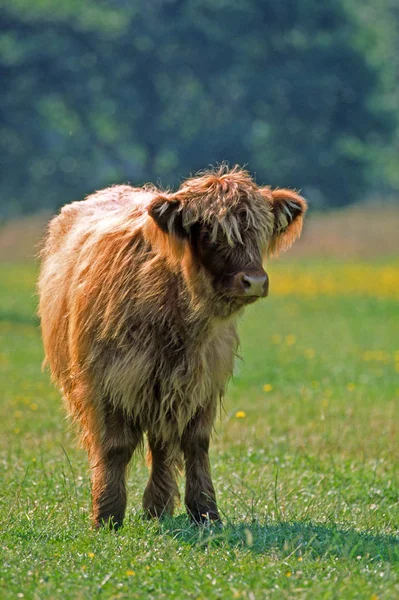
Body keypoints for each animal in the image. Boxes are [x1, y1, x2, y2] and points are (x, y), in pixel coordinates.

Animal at [38, 166, 306, 528]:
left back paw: (158, 508)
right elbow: (115, 446)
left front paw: (205, 513)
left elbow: (194, 444)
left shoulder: (202, 382)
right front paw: (106, 515)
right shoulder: (106, 380)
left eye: (260, 230)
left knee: (162, 444)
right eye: (208, 231)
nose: (254, 281)